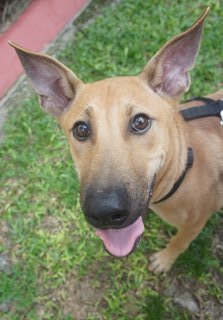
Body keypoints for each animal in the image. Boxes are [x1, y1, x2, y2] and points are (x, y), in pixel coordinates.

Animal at [10, 7, 223, 272]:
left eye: (140, 122)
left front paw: (164, 260)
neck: (185, 166)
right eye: (81, 129)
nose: (104, 214)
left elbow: (179, 241)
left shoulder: (195, 223)